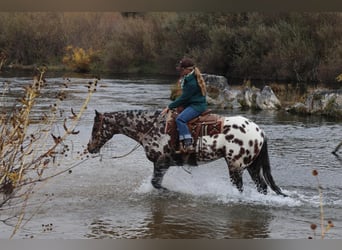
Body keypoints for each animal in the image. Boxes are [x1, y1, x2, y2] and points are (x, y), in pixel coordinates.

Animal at [87, 110, 288, 196]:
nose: (90, 147)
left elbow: (156, 183)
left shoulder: (162, 162)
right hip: (252, 166)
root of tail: (259, 131)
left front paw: (172, 192)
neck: (150, 126)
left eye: (95, 127)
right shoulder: (161, 164)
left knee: (240, 188)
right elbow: (155, 182)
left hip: (236, 167)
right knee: (262, 187)